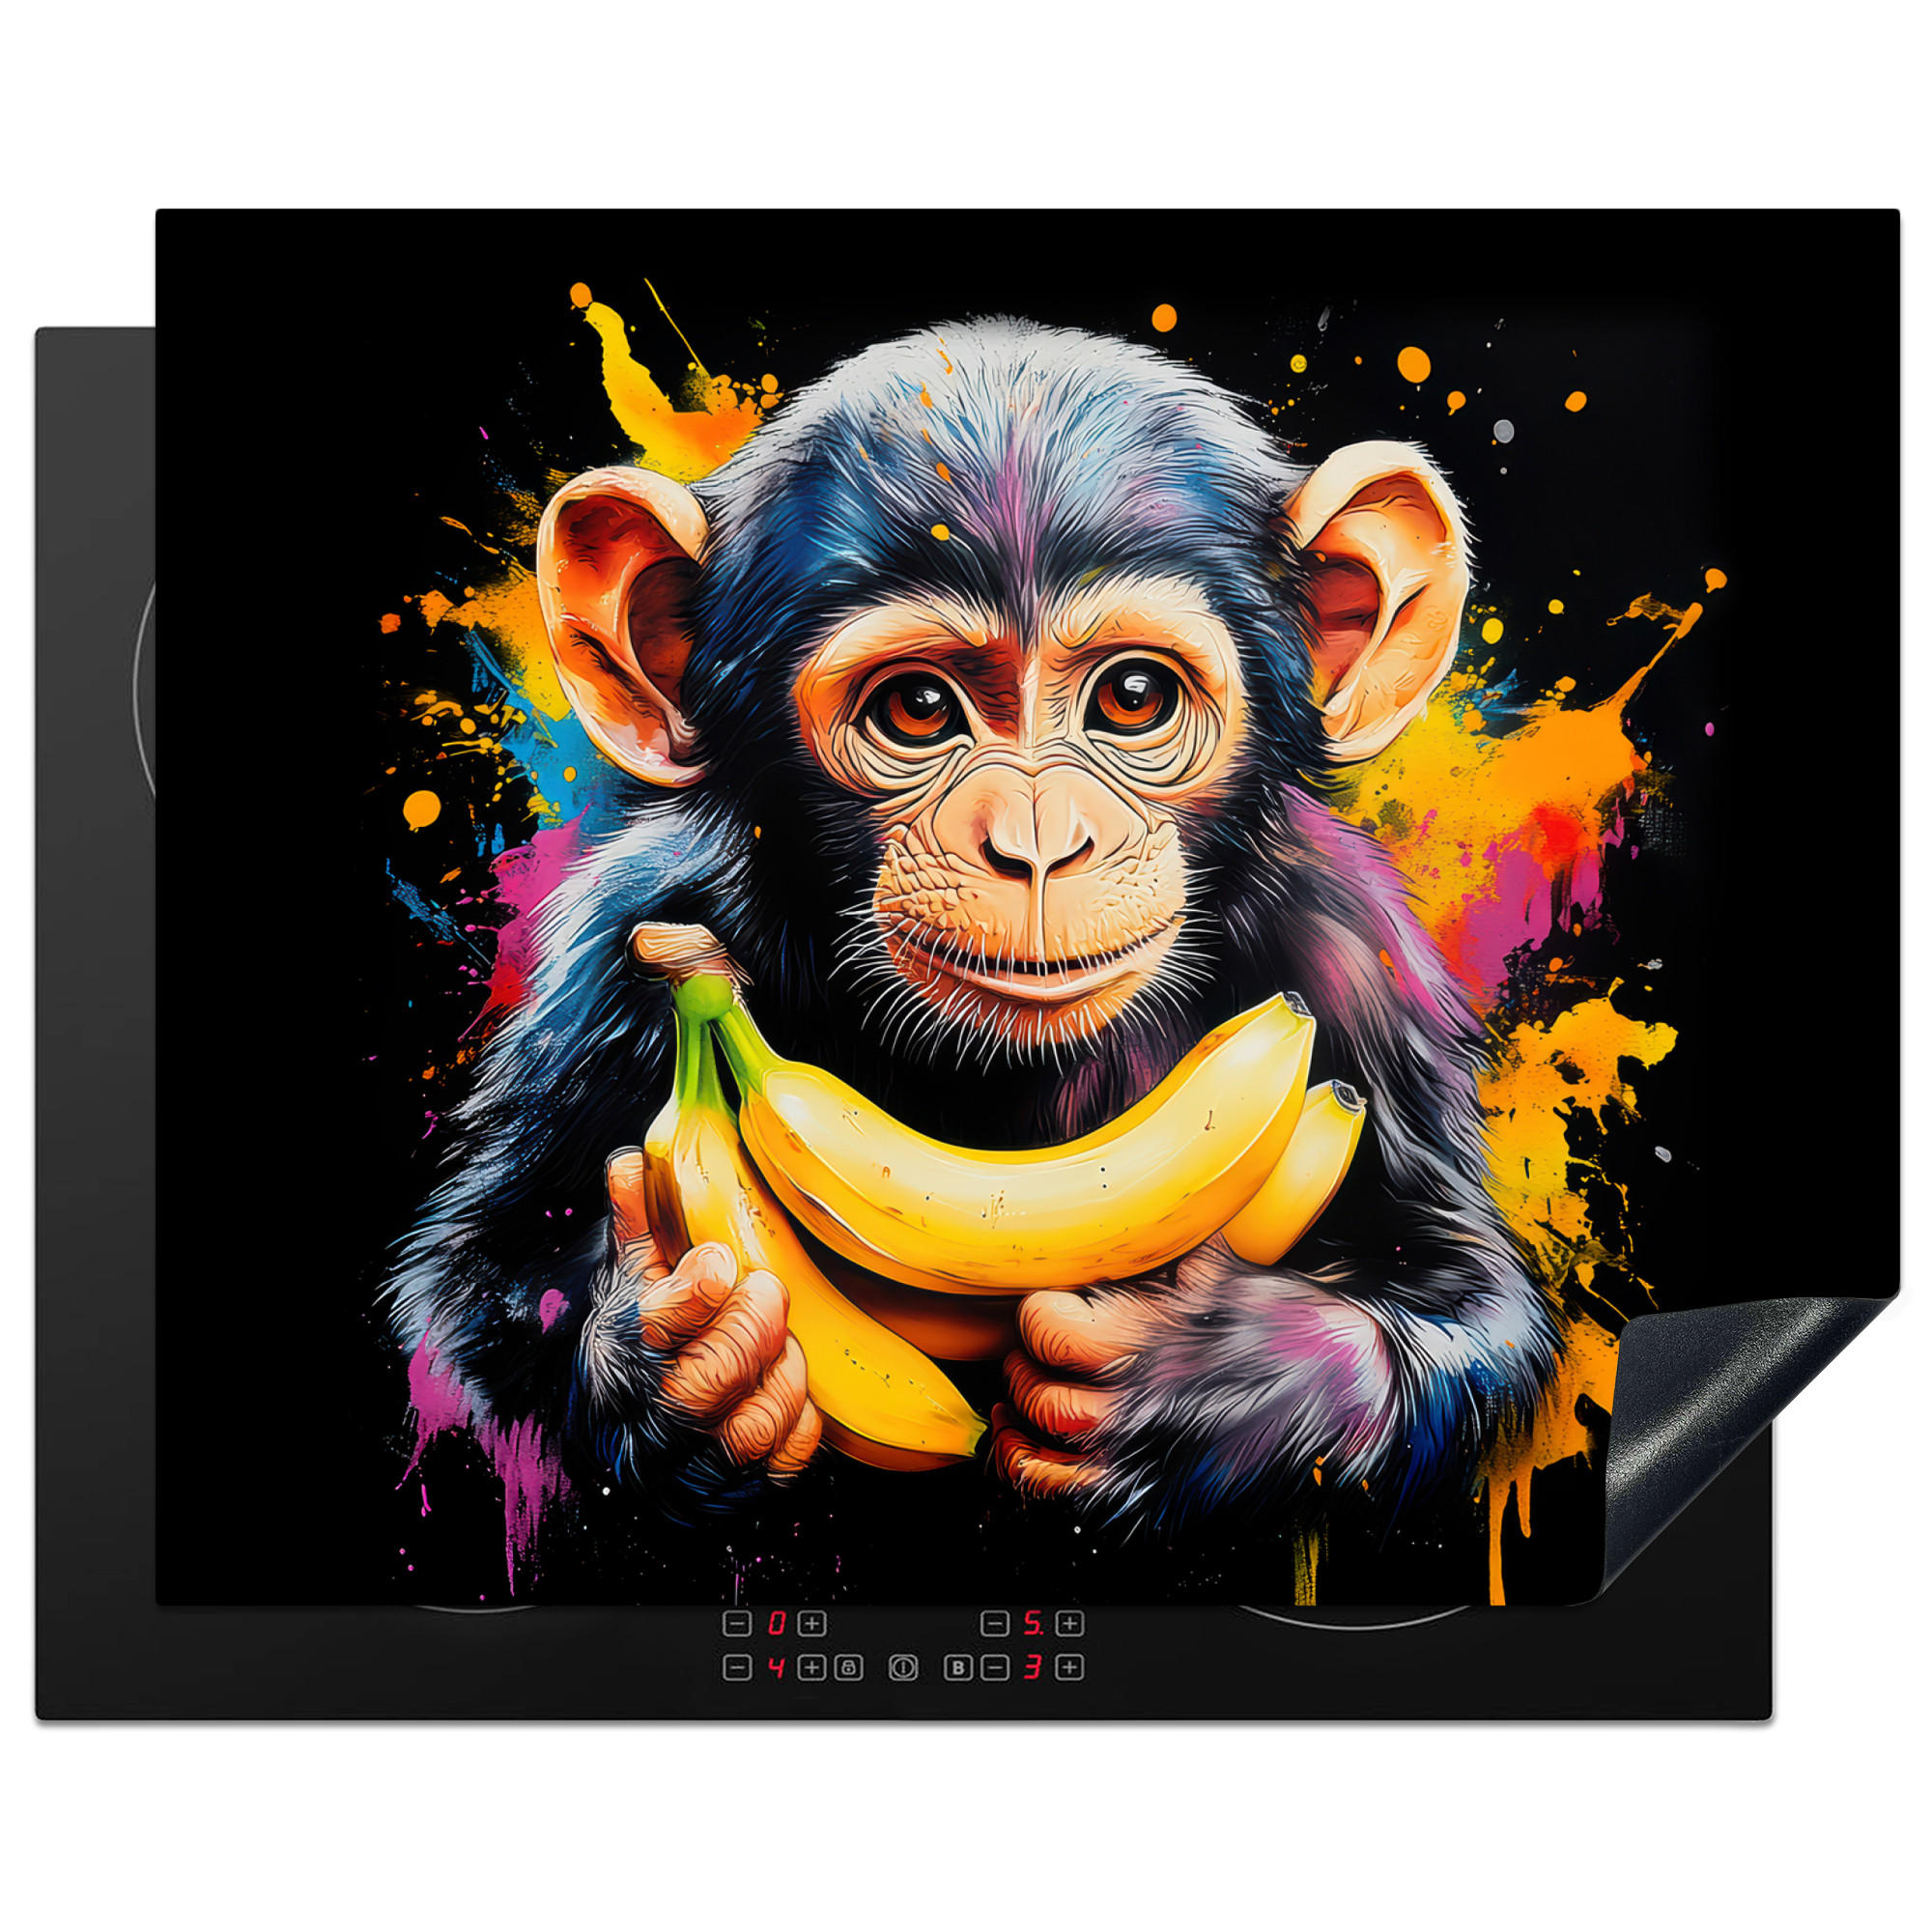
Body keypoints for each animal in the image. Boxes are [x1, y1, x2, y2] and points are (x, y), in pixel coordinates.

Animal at [388, 317, 1558, 1551]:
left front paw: (1202, 1384)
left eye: (1132, 697)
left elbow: (1467, 1297)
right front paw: (681, 1370)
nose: (1036, 843)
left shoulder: (1354, 957)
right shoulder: (613, 953)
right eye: (916, 709)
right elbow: (476, 1298)